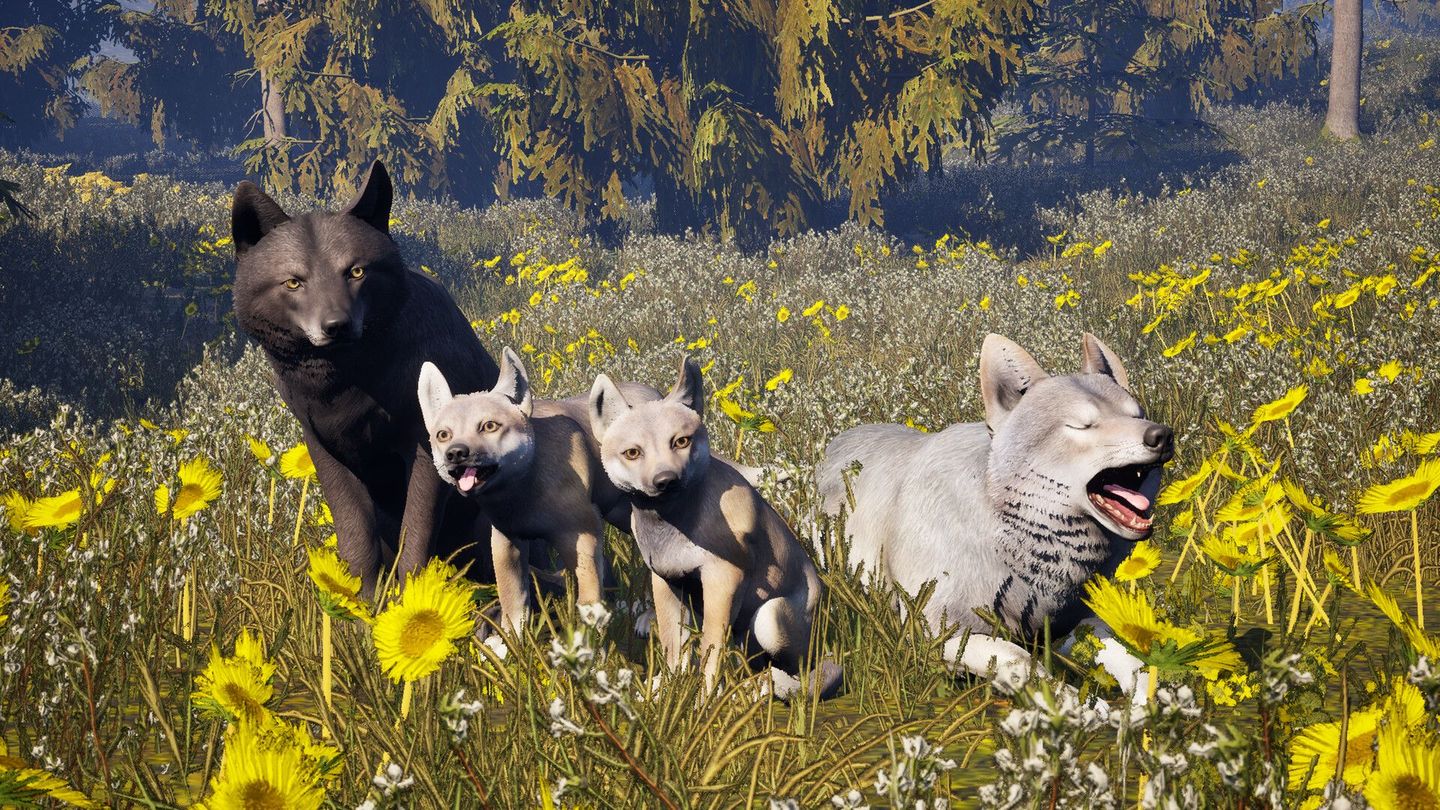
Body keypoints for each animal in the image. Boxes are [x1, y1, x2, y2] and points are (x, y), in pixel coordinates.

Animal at [231, 161, 498, 595]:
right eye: (294, 282)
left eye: (355, 271)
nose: (336, 325)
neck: (344, 385)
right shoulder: (326, 452)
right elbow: (356, 538)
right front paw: (360, 605)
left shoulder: (424, 448)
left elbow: (416, 536)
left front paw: (408, 600)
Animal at [590, 358, 842, 699]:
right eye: (633, 452)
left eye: (681, 441)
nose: (665, 480)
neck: (675, 530)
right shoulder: (666, 580)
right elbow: (673, 646)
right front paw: (669, 693)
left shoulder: (723, 579)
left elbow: (712, 648)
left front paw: (704, 699)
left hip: (769, 620)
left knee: (796, 671)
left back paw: (758, 689)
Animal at [816, 333, 1173, 697]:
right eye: (1083, 425)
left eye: (1137, 415)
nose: (1161, 435)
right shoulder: (935, 634)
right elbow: (1018, 659)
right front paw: (1068, 702)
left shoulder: (1081, 619)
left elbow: (1127, 653)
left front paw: (1151, 696)